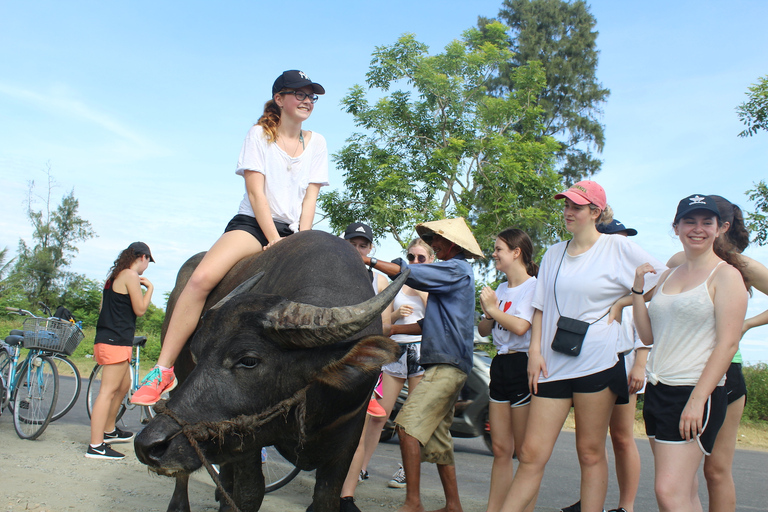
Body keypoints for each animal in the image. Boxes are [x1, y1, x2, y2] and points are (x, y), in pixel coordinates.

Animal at [134, 232, 404, 512]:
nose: (147, 445)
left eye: (249, 360)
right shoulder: (247, 437)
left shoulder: (348, 436)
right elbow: (250, 494)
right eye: (198, 353)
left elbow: (326, 497)